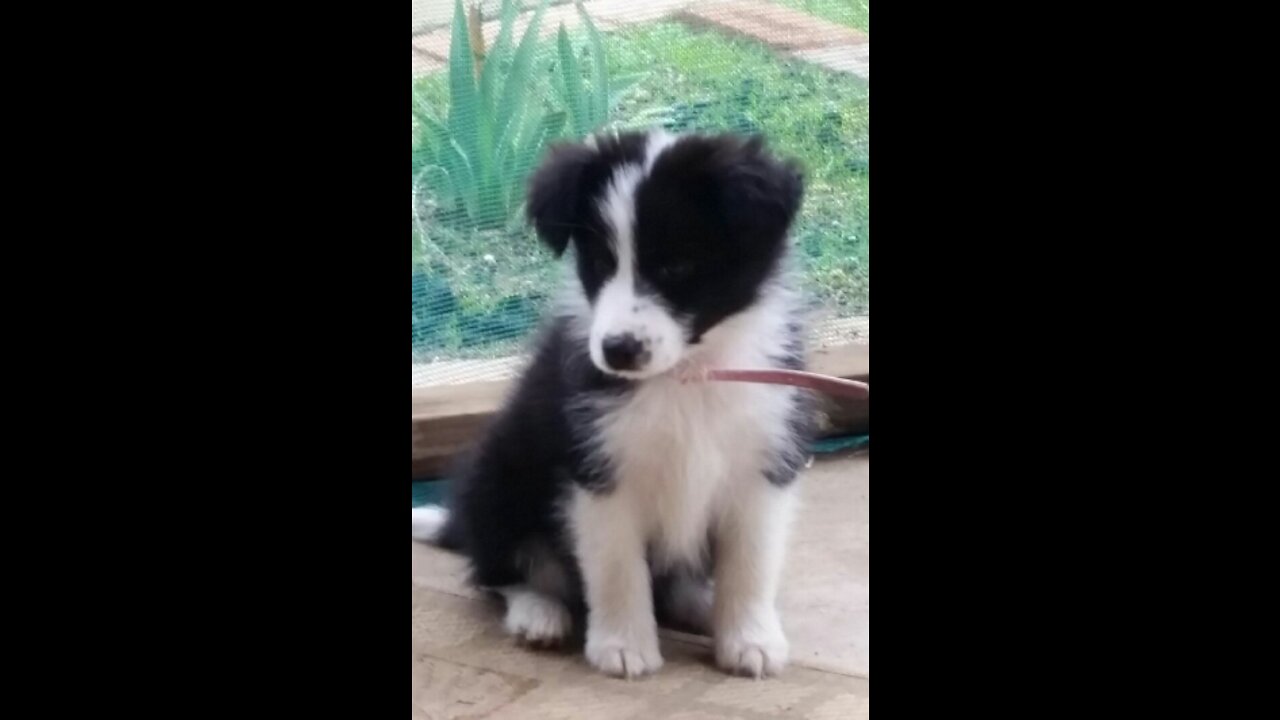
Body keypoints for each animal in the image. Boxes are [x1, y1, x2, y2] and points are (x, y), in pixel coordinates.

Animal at [412, 130, 808, 676]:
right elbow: (618, 567)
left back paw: (700, 606)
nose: (618, 349)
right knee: (500, 569)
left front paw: (751, 640)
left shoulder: (763, 462)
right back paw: (538, 613)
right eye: (600, 264)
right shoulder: (598, 470)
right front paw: (623, 647)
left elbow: (750, 561)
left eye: (677, 266)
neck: (683, 377)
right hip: (499, 475)